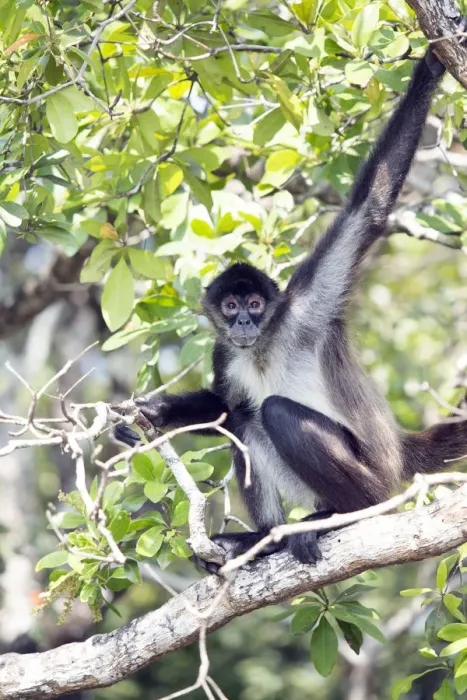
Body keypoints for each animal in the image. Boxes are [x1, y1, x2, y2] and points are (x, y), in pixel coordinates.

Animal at [115, 48, 467, 569]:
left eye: (256, 304)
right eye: (232, 304)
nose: (243, 320)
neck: (263, 345)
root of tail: (399, 453)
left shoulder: (307, 307)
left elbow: (369, 209)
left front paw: (431, 62)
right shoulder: (226, 350)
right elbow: (224, 406)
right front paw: (152, 415)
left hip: (375, 476)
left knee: (275, 411)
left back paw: (345, 515)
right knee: (246, 416)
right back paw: (265, 538)